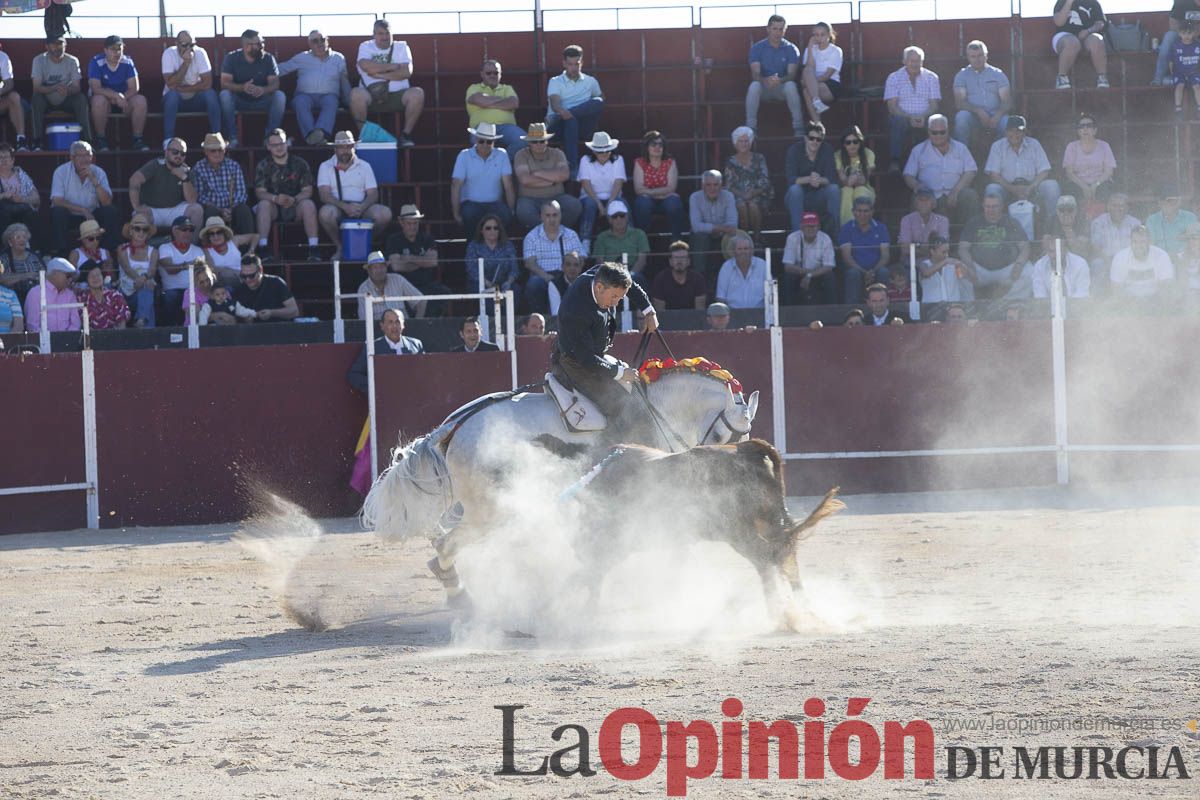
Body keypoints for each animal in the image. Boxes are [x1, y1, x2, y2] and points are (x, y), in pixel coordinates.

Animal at [362, 362, 758, 599]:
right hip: (490, 511)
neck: (654, 407)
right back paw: (466, 599)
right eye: (725, 435)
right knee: (447, 545)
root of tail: (454, 427)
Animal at [564, 438, 840, 633]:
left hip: (738, 532)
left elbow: (594, 574)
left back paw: (780, 614)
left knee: (766, 557)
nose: (577, 549)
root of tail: (745, 448)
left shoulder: (618, 540)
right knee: (785, 555)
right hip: (769, 522)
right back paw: (804, 611)